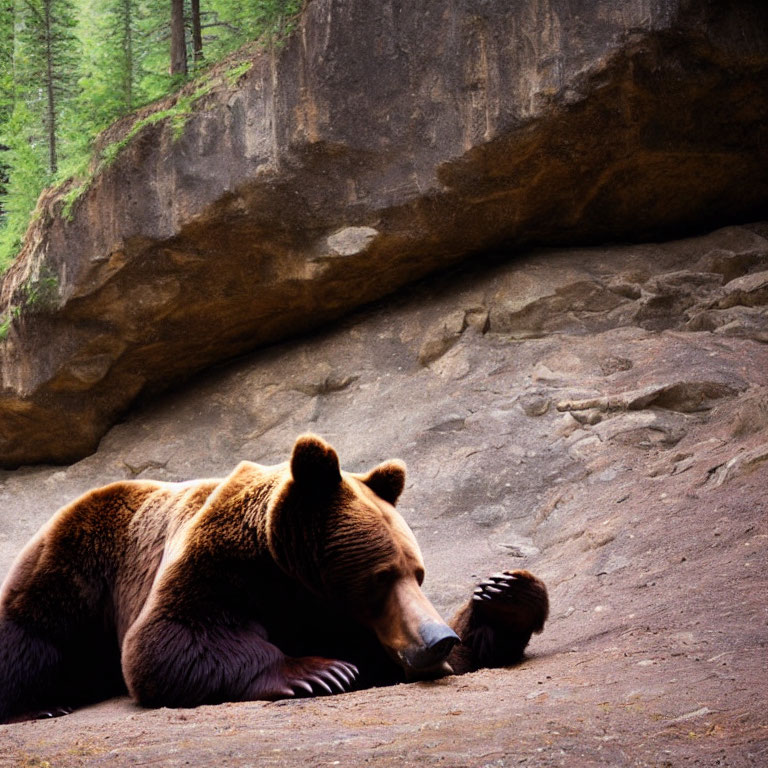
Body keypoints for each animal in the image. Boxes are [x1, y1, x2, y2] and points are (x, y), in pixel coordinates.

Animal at [1, 436, 552, 724]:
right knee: (34, 634)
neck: (295, 582)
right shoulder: (219, 563)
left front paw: (505, 593)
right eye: (381, 576)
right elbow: (166, 638)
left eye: (418, 574)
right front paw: (319, 671)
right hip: (78, 568)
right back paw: (43, 704)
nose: (437, 638)